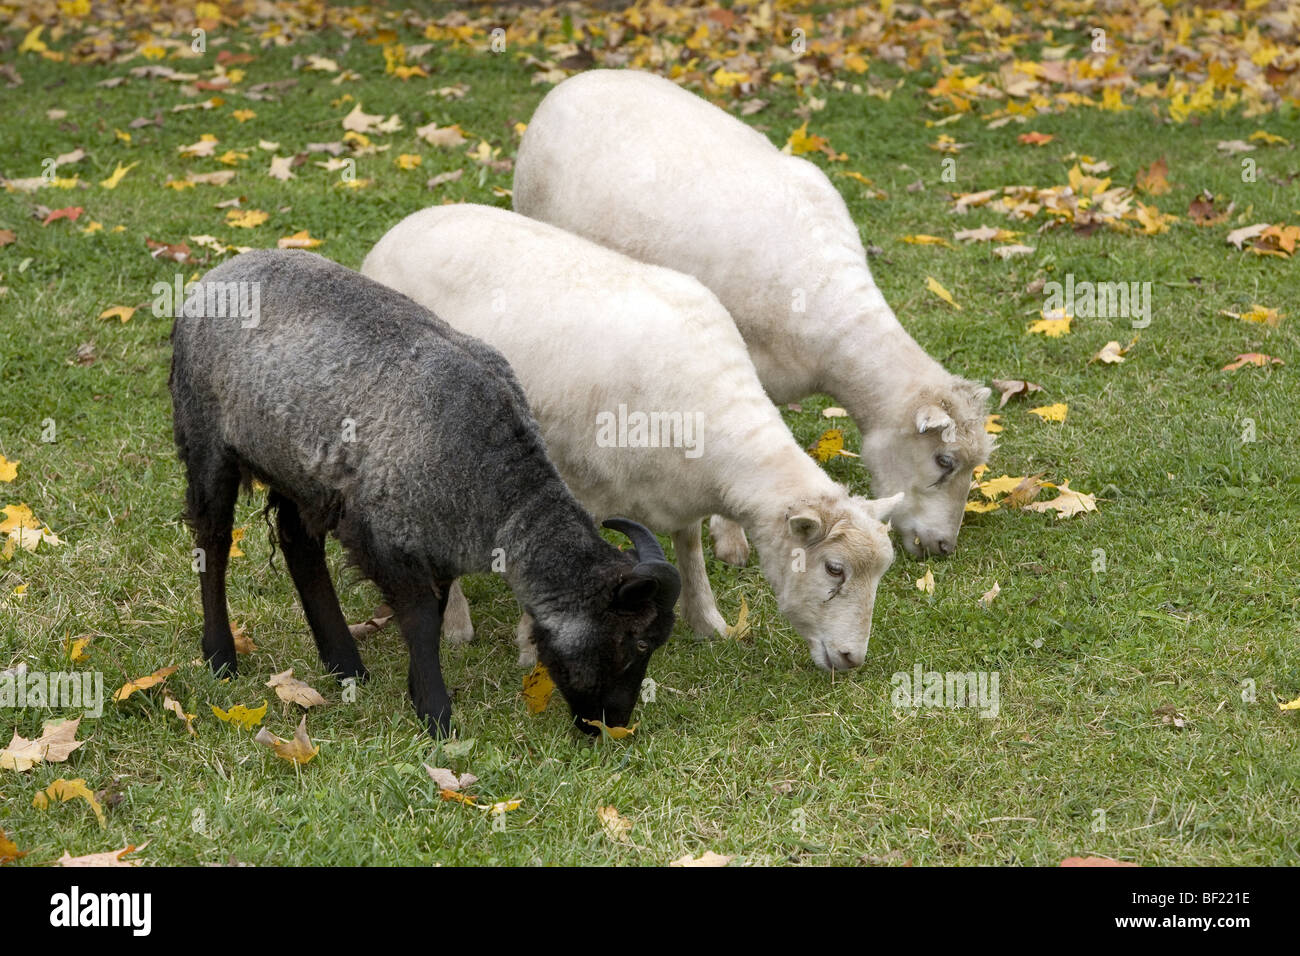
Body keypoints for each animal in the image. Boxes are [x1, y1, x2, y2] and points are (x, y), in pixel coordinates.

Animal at [170, 251, 681, 738]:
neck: (500, 492)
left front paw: (420, 694)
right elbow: (420, 622)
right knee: (213, 542)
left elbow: (432, 618)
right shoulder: (385, 535)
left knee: (299, 544)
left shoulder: (436, 549)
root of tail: (222, 269)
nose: (613, 725)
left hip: (302, 471)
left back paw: (344, 664)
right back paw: (221, 657)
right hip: (206, 436)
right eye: (638, 641)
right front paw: (436, 716)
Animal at [361, 208, 899, 671]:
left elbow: (690, 550)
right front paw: (532, 651)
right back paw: (455, 625)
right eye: (834, 569)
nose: (853, 659)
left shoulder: (683, 493)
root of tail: (401, 228)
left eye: (881, 573)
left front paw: (709, 623)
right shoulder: (582, 489)